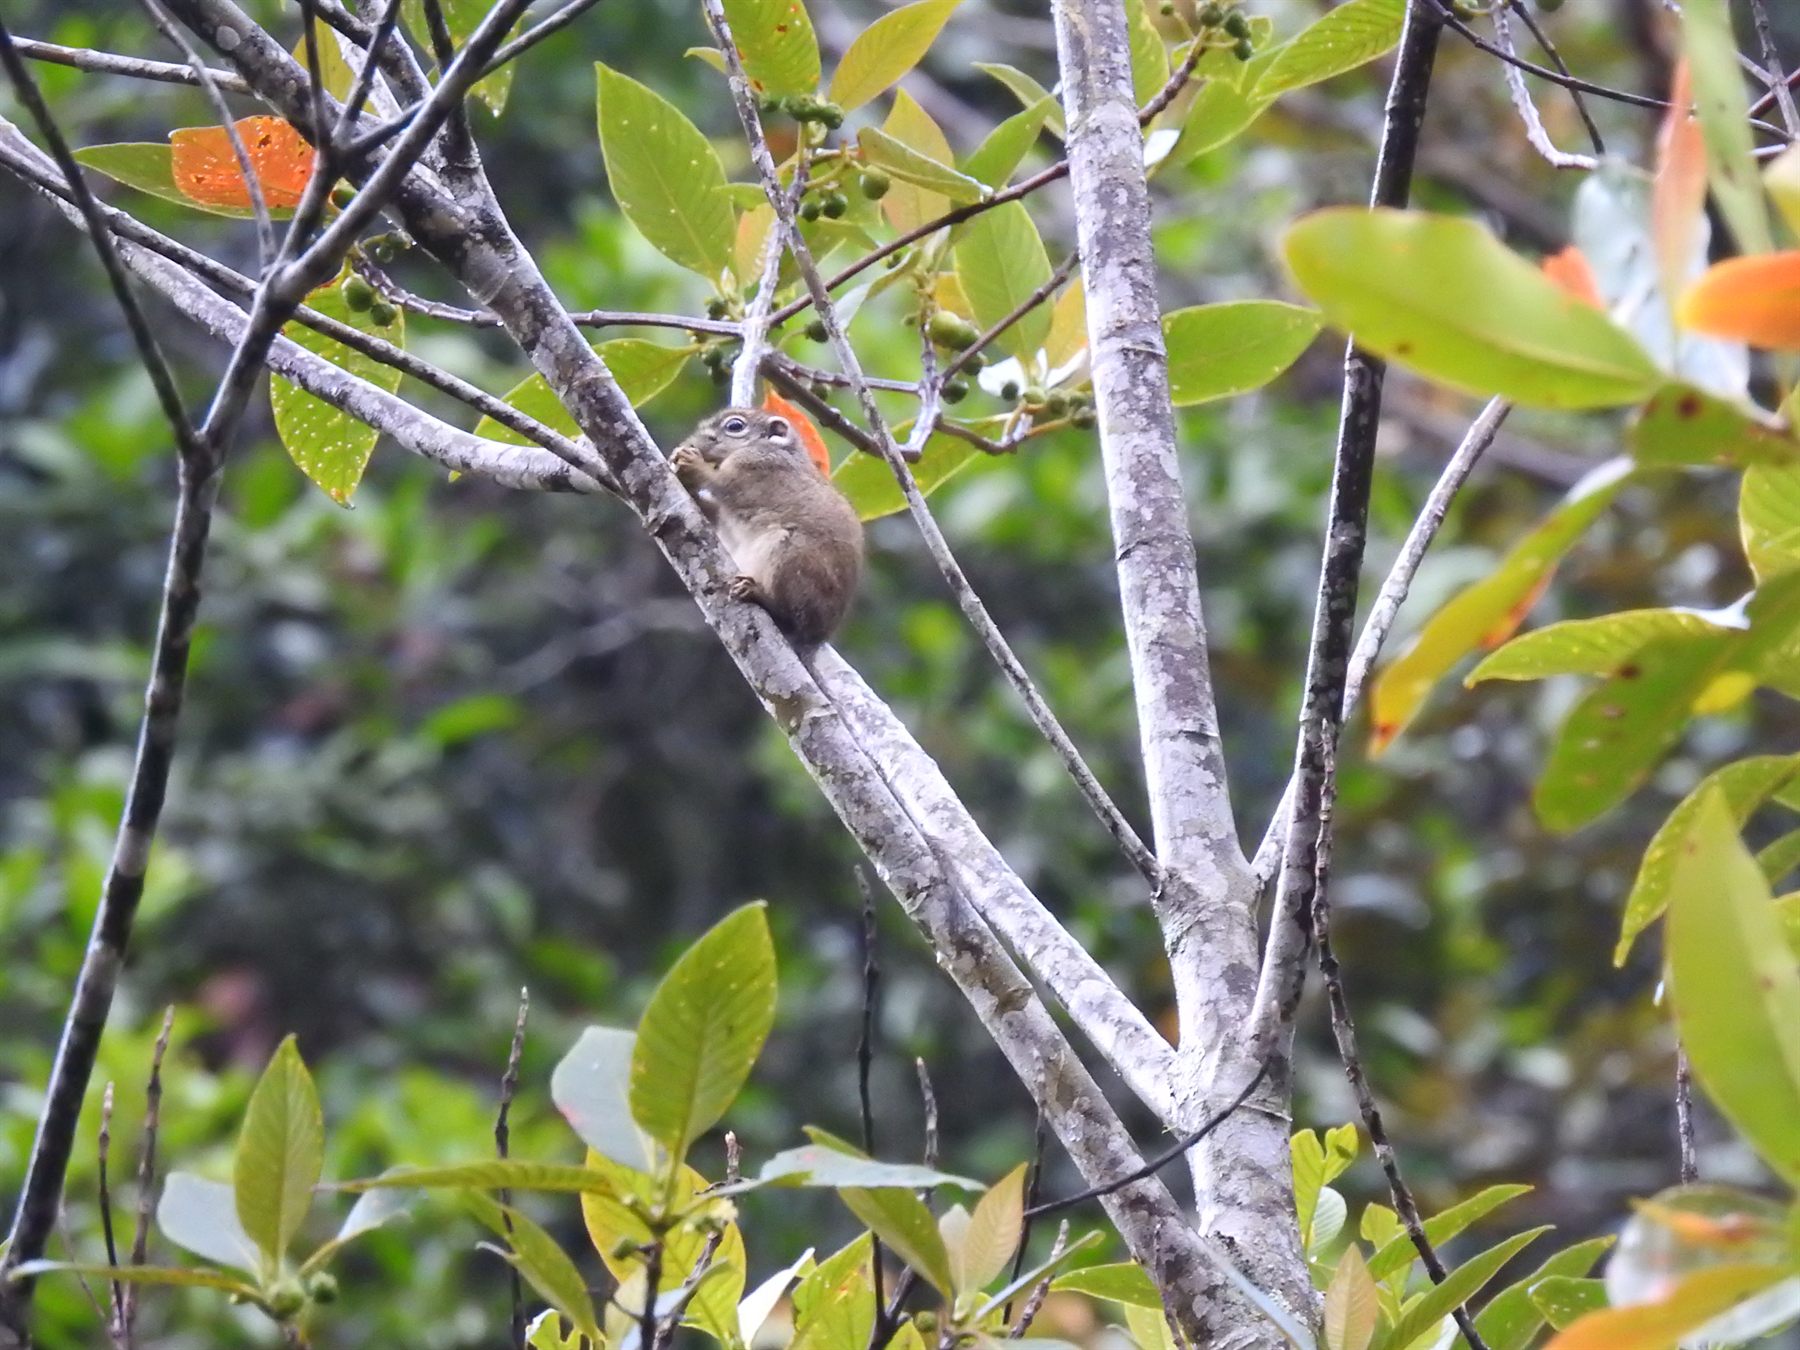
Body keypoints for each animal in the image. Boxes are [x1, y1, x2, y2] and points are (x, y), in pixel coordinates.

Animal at [670, 408, 864, 647]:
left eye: (735, 426)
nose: (691, 443)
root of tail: (818, 635)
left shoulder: (752, 467)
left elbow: (719, 482)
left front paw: (691, 463)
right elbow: (712, 518)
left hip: (792, 558)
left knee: (790, 616)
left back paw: (758, 594)